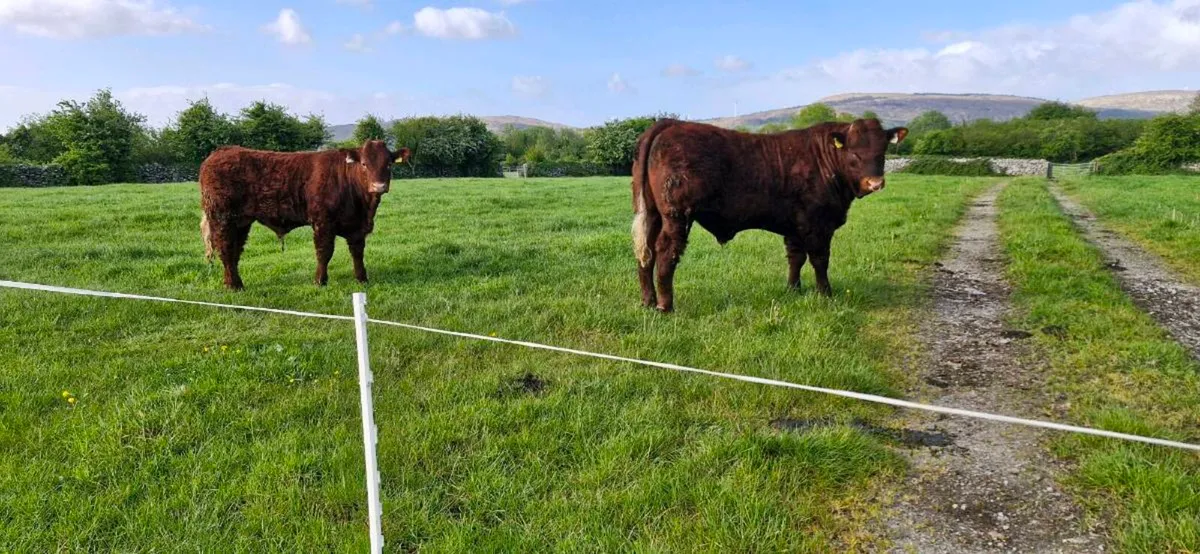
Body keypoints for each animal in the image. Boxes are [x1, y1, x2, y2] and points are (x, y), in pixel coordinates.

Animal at [199, 139, 411, 290]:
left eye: (389, 164)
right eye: (365, 164)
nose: (379, 186)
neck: (363, 206)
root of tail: (221, 151)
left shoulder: (357, 227)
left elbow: (357, 253)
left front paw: (362, 279)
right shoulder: (323, 222)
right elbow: (324, 252)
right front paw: (320, 281)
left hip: (241, 222)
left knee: (235, 250)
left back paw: (234, 282)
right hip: (222, 217)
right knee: (226, 249)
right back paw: (234, 286)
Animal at [630, 117, 907, 312]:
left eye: (882, 151)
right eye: (854, 152)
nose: (875, 182)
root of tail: (669, 123)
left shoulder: (795, 226)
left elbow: (795, 258)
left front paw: (793, 289)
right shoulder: (818, 224)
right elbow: (820, 260)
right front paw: (825, 293)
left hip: (652, 213)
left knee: (646, 252)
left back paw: (647, 301)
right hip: (676, 215)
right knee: (665, 252)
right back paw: (665, 305)